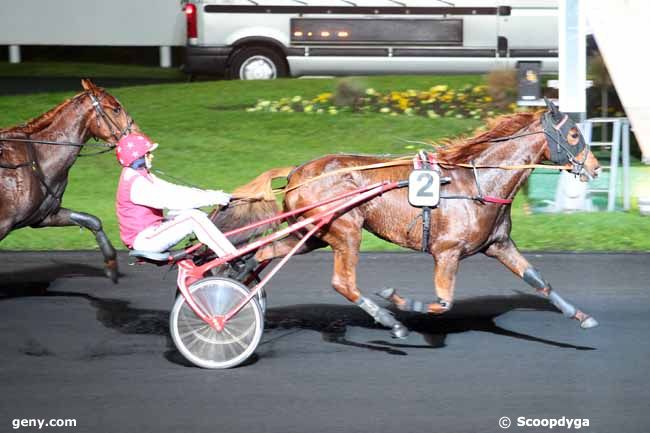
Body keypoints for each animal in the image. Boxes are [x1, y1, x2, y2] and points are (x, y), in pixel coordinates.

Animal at [0, 79, 138, 282]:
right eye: (116, 109)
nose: (137, 134)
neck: (37, 156)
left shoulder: (46, 216)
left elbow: (92, 221)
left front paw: (111, 262)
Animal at [218, 101, 604, 338]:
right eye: (573, 134)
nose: (596, 167)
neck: (478, 181)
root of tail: (298, 171)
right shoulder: (447, 252)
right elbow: (443, 303)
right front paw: (399, 301)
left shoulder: (499, 245)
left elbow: (539, 281)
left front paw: (581, 316)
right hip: (345, 230)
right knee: (343, 282)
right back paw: (390, 321)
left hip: (313, 233)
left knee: (262, 253)